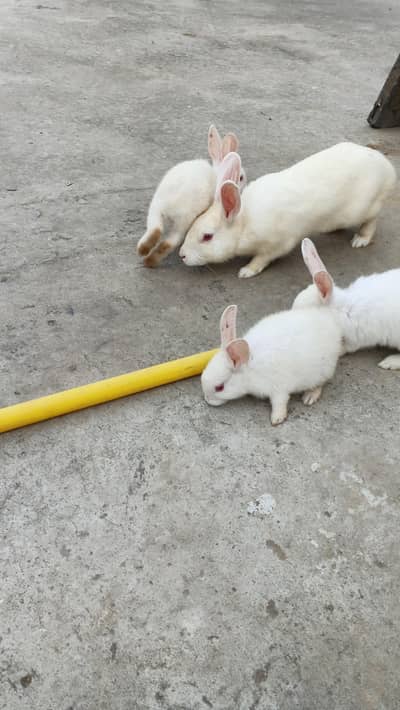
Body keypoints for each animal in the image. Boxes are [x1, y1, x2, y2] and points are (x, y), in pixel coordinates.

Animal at [137, 125, 246, 268]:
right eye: (241, 177)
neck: (217, 172)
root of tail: (173, 205)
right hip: (178, 218)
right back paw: (149, 259)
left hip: (159, 209)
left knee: (157, 231)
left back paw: (145, 253)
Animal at [179, 142, 396, 278]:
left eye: (207, 237)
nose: (182, 255)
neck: (245, 223)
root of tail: (387, 167)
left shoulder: (276, 245)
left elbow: (261, 259)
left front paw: (246, 271)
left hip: (363, 209)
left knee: (372, 220)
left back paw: (360, 240)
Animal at [201, 303, 342, 425]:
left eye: (219, 387)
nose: (207, 400)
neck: (249, 366)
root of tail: (331, 321)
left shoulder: (278, 388)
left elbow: (279, 402)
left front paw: (277, 419)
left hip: (322, 371)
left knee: (320, 384)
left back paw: (310, 397)